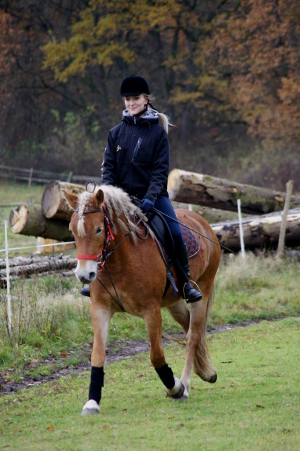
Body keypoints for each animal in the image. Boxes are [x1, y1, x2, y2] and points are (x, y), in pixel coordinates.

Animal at [65, 185, 220, 416]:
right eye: (73, 231)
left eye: (99, 230)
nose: (85, 275)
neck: (121, 259)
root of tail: (203, 223)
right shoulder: (100, 309)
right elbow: (97, 354)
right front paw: (92, 402)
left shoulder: (151, 311)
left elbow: (156, 356)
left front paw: (175, 387)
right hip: (174, 302)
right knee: (189, 326)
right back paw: (205, 371)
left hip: (203, 290)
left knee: (193, 335)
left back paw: (185, 384)